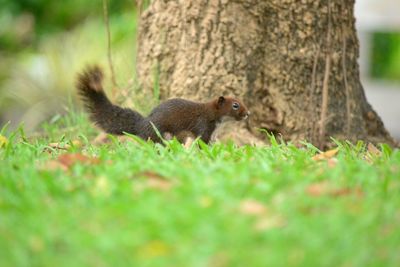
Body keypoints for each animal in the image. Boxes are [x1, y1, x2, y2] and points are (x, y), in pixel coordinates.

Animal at [76, 65, 250, 144]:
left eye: (241, 102)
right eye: (235, 105)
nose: (247, 114)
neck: (215, 116)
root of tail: (142, 124)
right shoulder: (203, 126)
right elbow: (202, 142)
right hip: (161, 133)